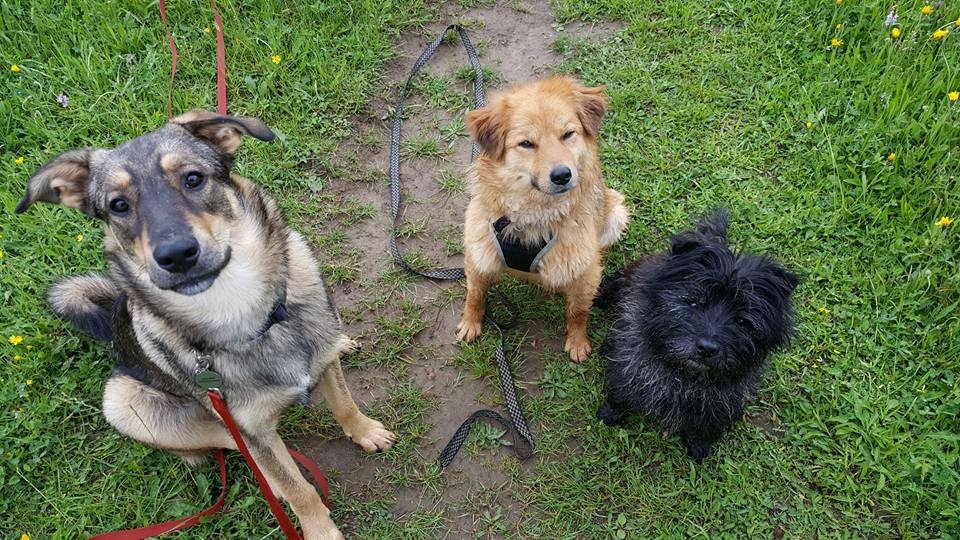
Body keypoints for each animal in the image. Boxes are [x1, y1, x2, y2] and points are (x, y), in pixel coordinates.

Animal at [14, 108, 394, 536]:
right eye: (118, 205)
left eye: (193, 179)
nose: (176, 254)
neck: (242, 310)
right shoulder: (248, 428)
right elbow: (298, 488)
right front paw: (319, 530)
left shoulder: (322, 357)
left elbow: (344, 403)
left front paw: (367, 432)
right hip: (123, 402)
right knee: (237, 447)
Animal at [456, 77, 632, 362]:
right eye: (526, 143)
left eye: (568, 134)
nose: (562, 175)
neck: (533, 214)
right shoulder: (479, 254)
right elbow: (475, 294)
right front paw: (470, 323)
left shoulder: (585, 273)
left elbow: (578, 311)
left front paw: (578, 341)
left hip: (616, 211)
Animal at [596, 211, 800, 460]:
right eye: (693, 301)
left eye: (743, 321)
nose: (707, 348)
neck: (684, 375)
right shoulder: (629, 367)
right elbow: (620, 392)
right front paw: (610, 413)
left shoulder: (723, 401)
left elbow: (708, 424)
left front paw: (699, 445)